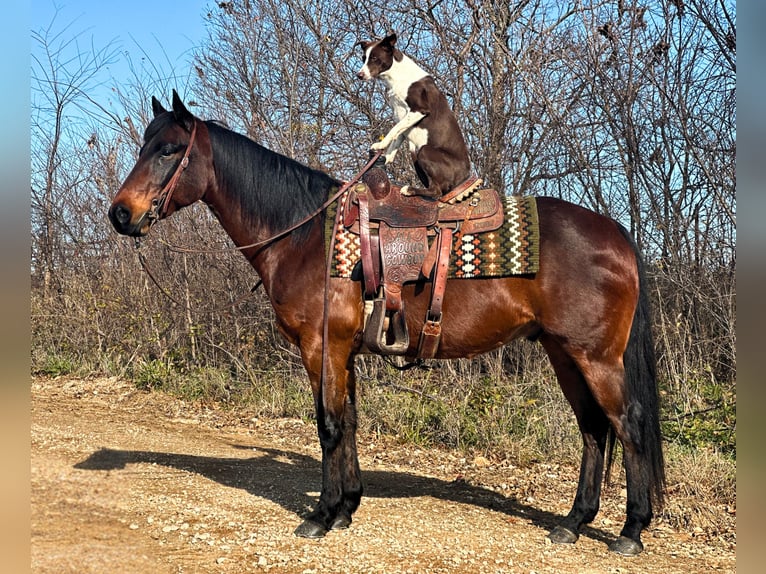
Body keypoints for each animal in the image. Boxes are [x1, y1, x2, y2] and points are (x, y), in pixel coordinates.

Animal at [108, 91, 664, 560]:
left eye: (169, 150)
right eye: (144, 146)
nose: (120, 214)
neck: (305, 235)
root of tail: (617, 234)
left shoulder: (321, 349)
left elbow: (329, 426)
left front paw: (321, 514)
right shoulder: (343, 353)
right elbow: (350, 422)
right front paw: (347, 507)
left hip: (595, 357)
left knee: (628, 424)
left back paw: (631, 530)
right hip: (564, 353)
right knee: (593, 430)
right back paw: (574, 522)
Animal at [356, 34, 474, 200]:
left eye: (374, 58)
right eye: (363, 58)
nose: (359, 75)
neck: (397, 76)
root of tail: (464, 178)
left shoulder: (419, 111)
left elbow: (394, 130)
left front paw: (380, 145)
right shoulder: (401, 116)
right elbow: (397, 138)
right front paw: (385, 158)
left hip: (424, 150)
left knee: (437, 192)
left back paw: (410, 190)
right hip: (415, 155)